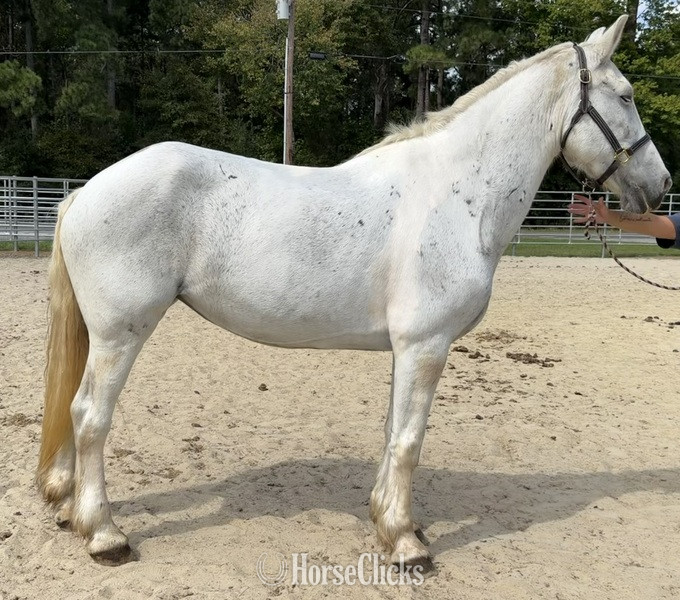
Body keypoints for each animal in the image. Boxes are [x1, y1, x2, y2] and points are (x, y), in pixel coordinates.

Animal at [37, 15, 671, 568]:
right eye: (626, 95)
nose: (661, 184)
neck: (458, 192)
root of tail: (86, 191)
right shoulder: (426, 346)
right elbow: (410, 441)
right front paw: (407, 546)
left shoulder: (408, 350)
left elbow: (393, 435)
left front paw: (390, 523)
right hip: (121, 333)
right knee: (89, 416)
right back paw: (105, 534)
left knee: (73, 412)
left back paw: (71, 511)